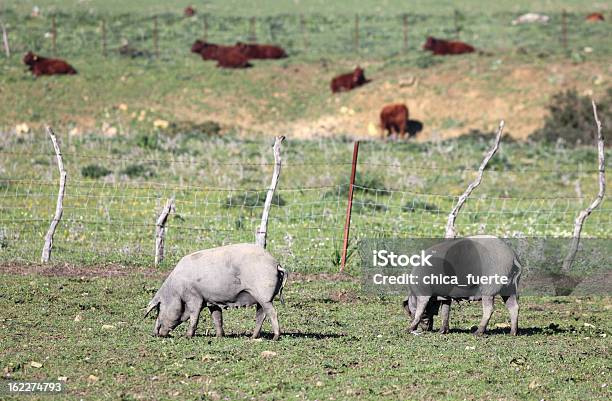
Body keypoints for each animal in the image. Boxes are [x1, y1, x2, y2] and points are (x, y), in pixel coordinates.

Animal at [145, 242, 288, 340]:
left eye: (159, 309)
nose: (155, 334)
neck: (176, 291)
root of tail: (276, 263)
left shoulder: (194, 296)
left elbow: (194, 315)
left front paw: (188, 336)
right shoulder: (211, 301)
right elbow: (217, 317)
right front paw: (219, 336)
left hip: (264, 295)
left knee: (272, 313)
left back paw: (275, 337)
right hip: (261, 298)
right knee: (261, 315)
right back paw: (253, 337)